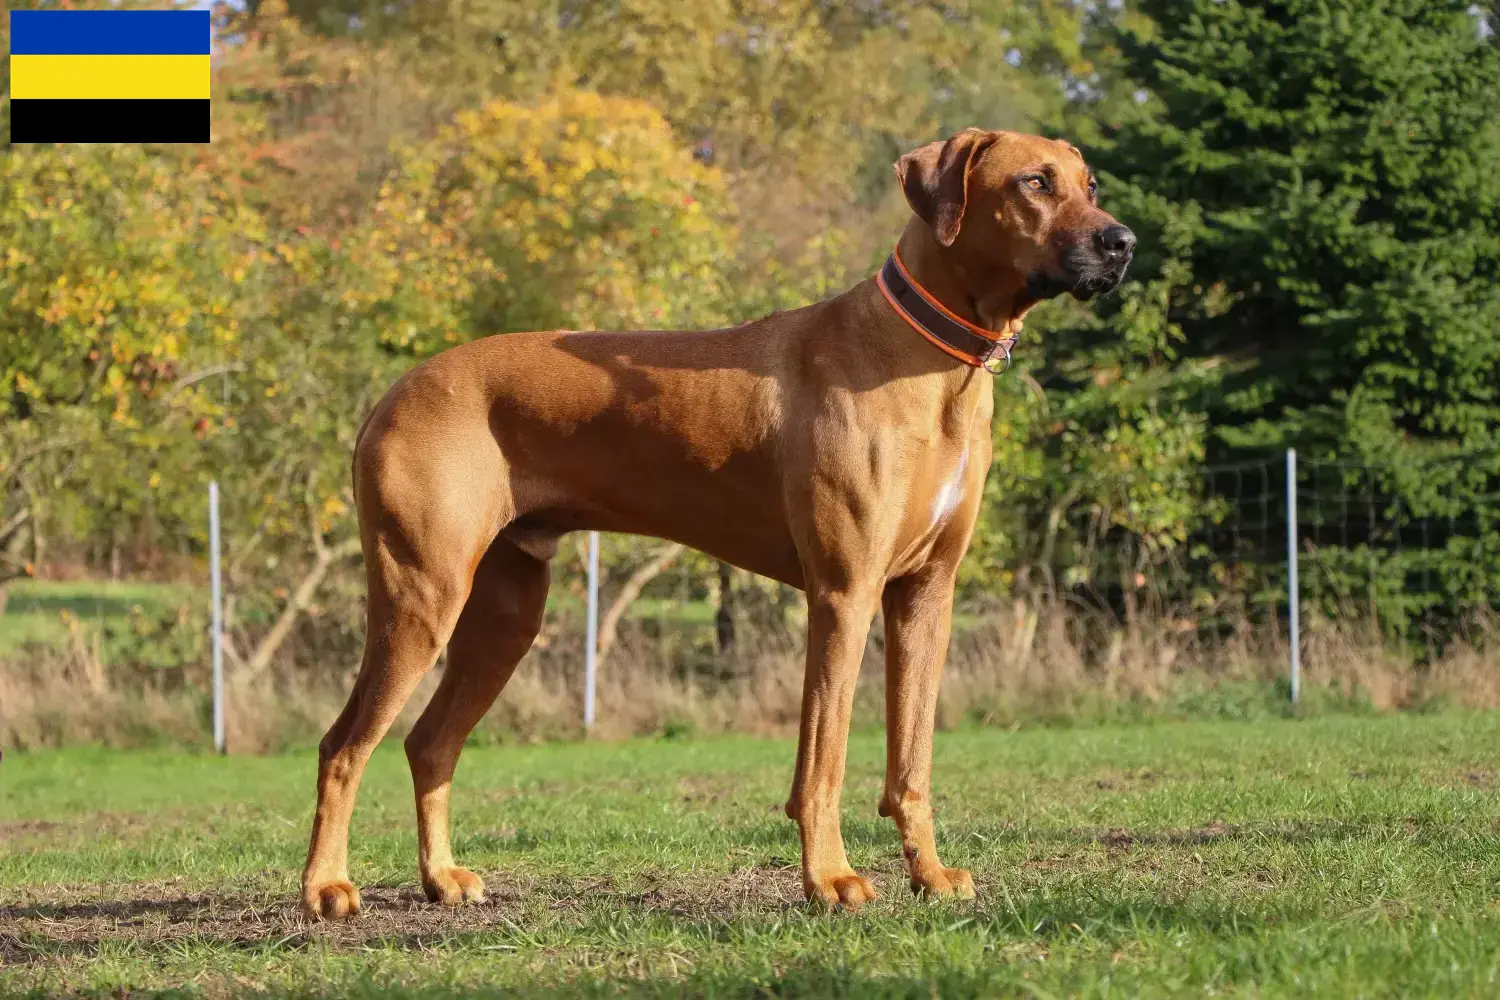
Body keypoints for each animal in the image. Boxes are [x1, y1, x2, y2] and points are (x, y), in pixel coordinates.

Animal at [295, 128, 1134, 917]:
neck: (927, 360)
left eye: (1091, 185)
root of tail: (393, 392)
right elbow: (823, 759)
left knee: (429, 743)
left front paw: (928, 874)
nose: (1123, 242)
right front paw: (830, 879)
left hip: (505, 612)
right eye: (1034, 183)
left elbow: (912, 761)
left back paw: (440, 877)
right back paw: (325, 887)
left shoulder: (926, 596)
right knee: (342, 743)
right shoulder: (843, 593)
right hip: (422, 595)